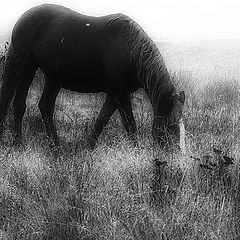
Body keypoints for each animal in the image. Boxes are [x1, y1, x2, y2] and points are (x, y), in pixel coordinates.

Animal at [0, 3, 186, 149]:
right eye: (171, 126)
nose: (176, 157)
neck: (131, 50)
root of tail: (24, 17)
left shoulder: (115, 95)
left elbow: (101, 121)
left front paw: (88, 147)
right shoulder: (121, 94)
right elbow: (130, 126)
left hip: (53, 78)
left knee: (45, 107)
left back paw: (55, 146)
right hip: (25, 66)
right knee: (17, 103)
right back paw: (18, 143)